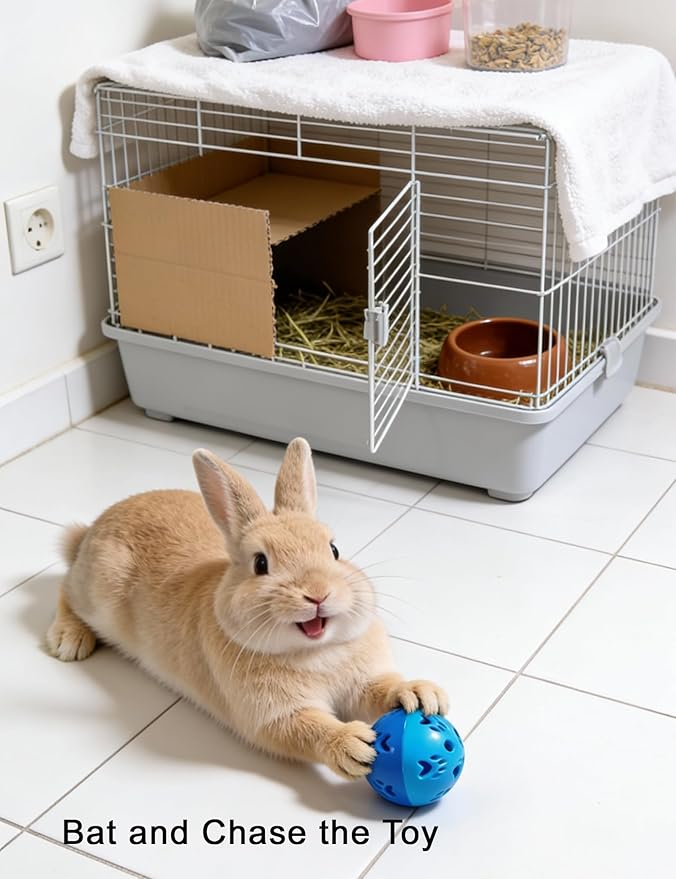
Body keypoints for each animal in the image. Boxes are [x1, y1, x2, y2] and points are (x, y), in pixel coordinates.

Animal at [46, 437, 448, 780]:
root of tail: (91, 533)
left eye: (334, 550)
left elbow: (381, 688)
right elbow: (306, 729)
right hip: (96, 593)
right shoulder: (272, 717)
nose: (317, 594)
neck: (316, 652)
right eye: (260, 564)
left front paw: (420, 695)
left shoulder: (364, 680)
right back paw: (69, 641)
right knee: (65, 589)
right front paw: (352, 745)